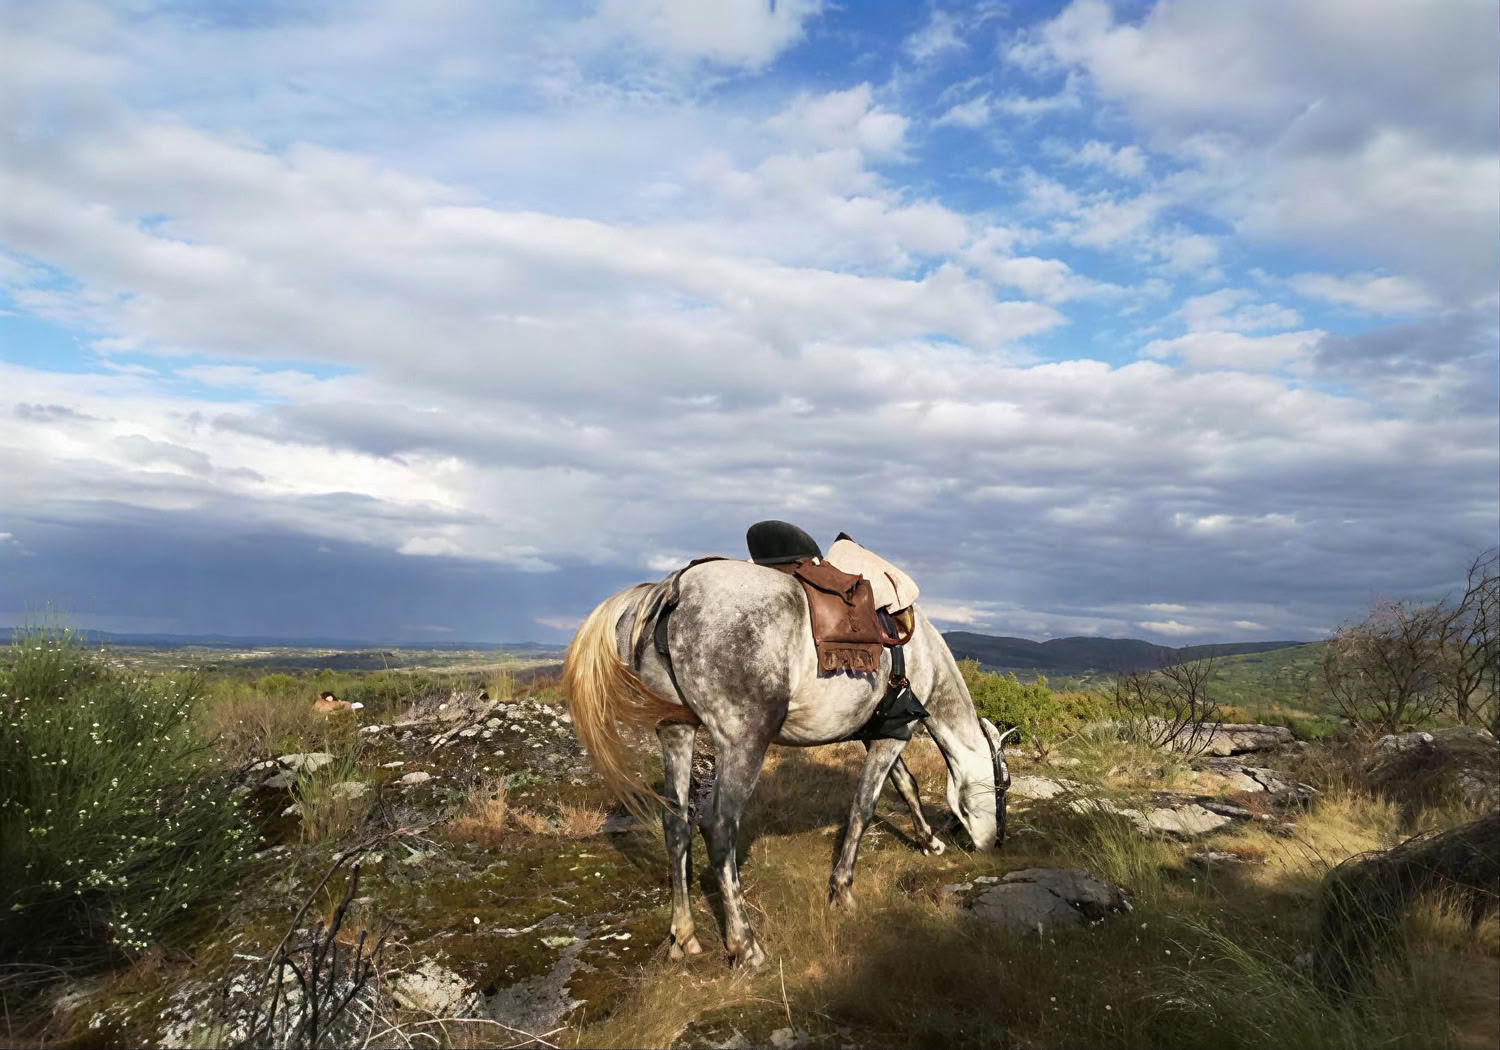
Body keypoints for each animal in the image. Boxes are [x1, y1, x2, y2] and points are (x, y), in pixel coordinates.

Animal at [563, 557, 1013, 969]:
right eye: (1002, 786)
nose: (994, 844)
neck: (923, 656)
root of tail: (673, 587)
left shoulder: (877, 734)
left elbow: (907, 786)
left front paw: (929, 842)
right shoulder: (892, 735)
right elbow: (863, 808)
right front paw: (842, 891)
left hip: (676, 731)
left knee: (676, 824)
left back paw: (684, 936)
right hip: (744, 741)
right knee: (718, 828)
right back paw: (746, 947)